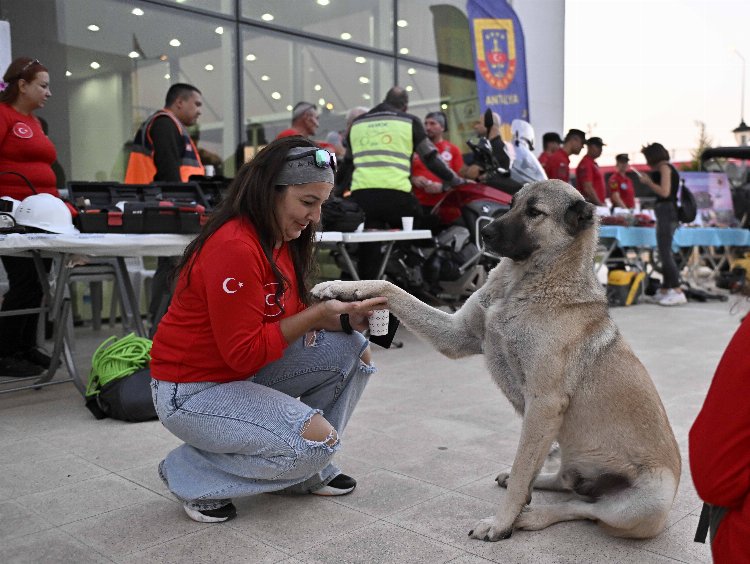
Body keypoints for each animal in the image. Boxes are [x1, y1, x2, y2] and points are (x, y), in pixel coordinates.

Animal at [312, 181, 680, 540]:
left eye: (534, 212)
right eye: (513, 203)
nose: (485, 232)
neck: (524, 286)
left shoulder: (544, 404)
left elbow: (522, 470)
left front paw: (501, 523)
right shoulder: (456, 336)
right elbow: (390, 286)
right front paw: (341, 286)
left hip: (645, 503)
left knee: (582, 508)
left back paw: (530, 517)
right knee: (566, 484)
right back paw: (539, 488)